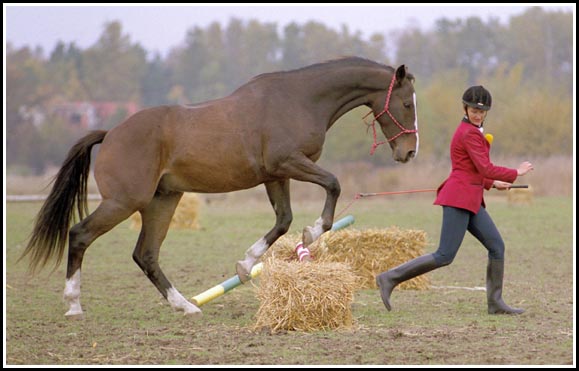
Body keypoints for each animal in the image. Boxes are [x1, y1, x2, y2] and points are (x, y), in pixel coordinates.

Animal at [20, 56, 420, 318]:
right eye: (405, 103)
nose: (409, 151)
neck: (300, 99)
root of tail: (112, 132)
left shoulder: (275, 176)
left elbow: (283, 221)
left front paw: (246, 265)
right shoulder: (286, 164)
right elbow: (332, 186)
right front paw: (312, 232)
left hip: (163, 200)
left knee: (146, 255)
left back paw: (185, 306)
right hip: (125, 201)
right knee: (80, 234)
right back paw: (74, 304)